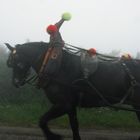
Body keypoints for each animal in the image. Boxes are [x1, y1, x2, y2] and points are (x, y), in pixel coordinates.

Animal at [6, 42, 140, 139]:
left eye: (17, 62)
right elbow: (74, 126)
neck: (58, 67)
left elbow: (42, 120)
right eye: (10, 64)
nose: (16, 82)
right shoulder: (71, 107)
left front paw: (53, 135)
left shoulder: (63, 104)